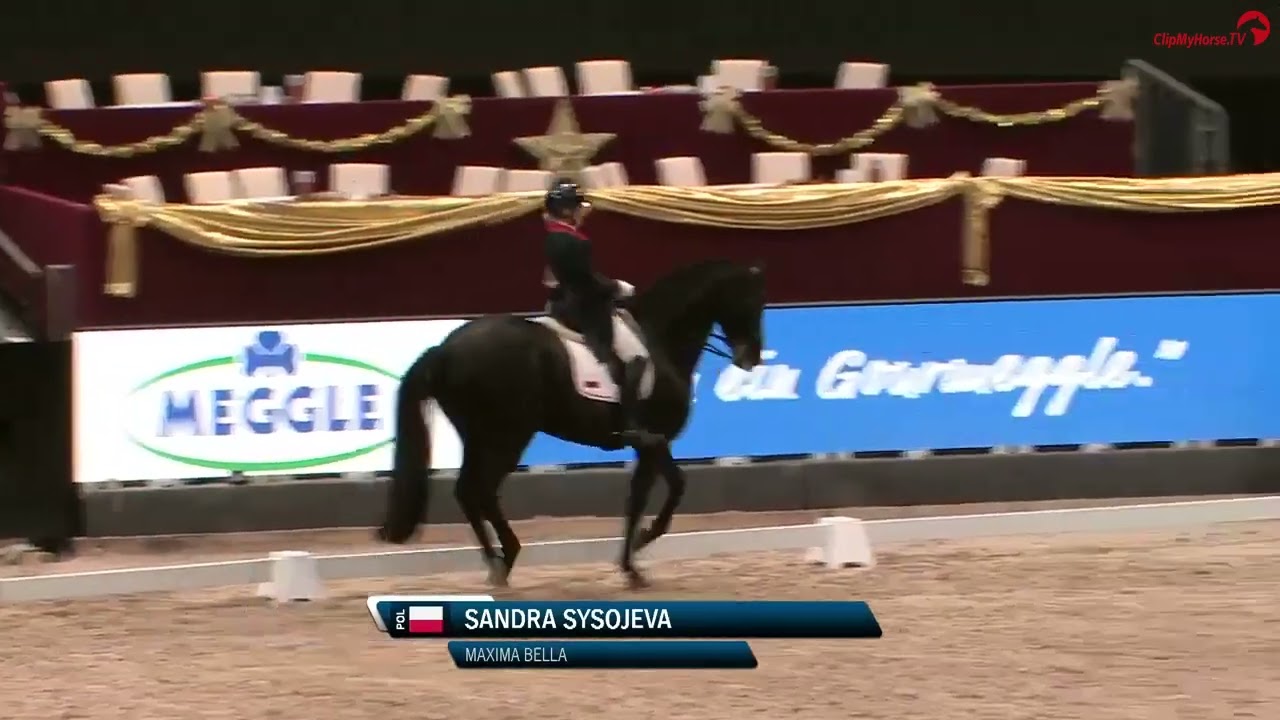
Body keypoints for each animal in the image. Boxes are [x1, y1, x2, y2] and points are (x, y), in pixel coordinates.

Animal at [378, 259, 766, 589]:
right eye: (752, 302)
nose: (752, 358)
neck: (660, 339)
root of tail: (444, 350)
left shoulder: (653, 442)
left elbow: (651, 494)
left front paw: (632, 561)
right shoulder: (653, 440)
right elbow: (663, 492)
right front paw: (638, 554)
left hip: (479, 435)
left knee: (469, 491)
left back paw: (497, 563)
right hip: (505, 435)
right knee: (479, 489)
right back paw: (504, 559)